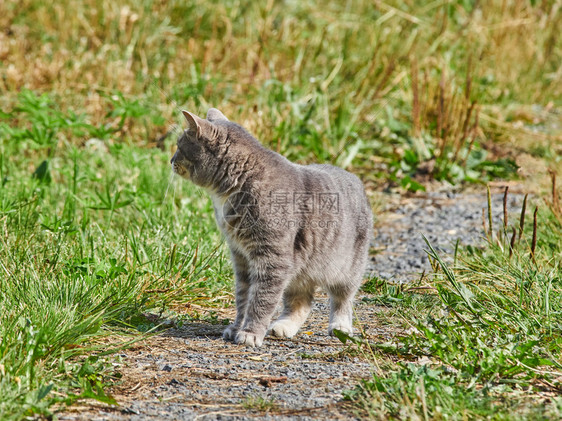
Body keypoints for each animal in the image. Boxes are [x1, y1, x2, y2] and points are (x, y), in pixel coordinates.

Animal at [171, 110, 372, 346]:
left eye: (179, 146)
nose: (171, 160)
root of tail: (357, 180)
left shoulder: (273, 258)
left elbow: (261, 299)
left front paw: (250, 333)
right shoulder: (241, 256)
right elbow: (244, 298)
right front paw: (238, 327)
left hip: (346, 269)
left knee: (343, 299)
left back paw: (340, 327)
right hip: (299, 272)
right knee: (301, 302)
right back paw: (283, 327)